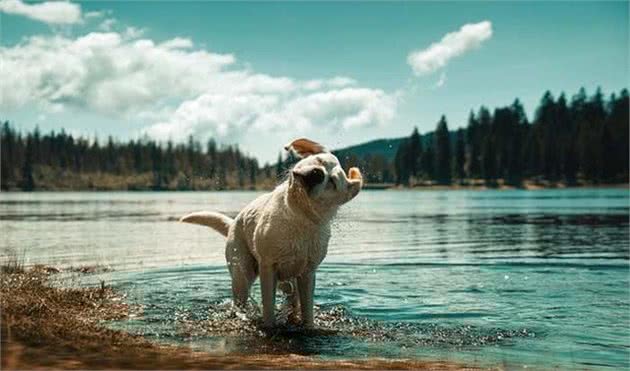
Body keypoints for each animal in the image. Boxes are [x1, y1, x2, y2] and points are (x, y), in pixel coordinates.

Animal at [180, 139, 362, 328]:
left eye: (332, 182)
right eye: (318, 160)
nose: (316, 174)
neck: (298, 215)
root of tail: (232, 224)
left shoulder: (308, 273)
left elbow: (307, 311)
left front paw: (308, 326)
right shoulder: (268, 267)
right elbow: (268, 308)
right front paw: (269, 326)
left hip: (287, 281)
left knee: (292, 299)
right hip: (242, 274)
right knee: (241, 298)